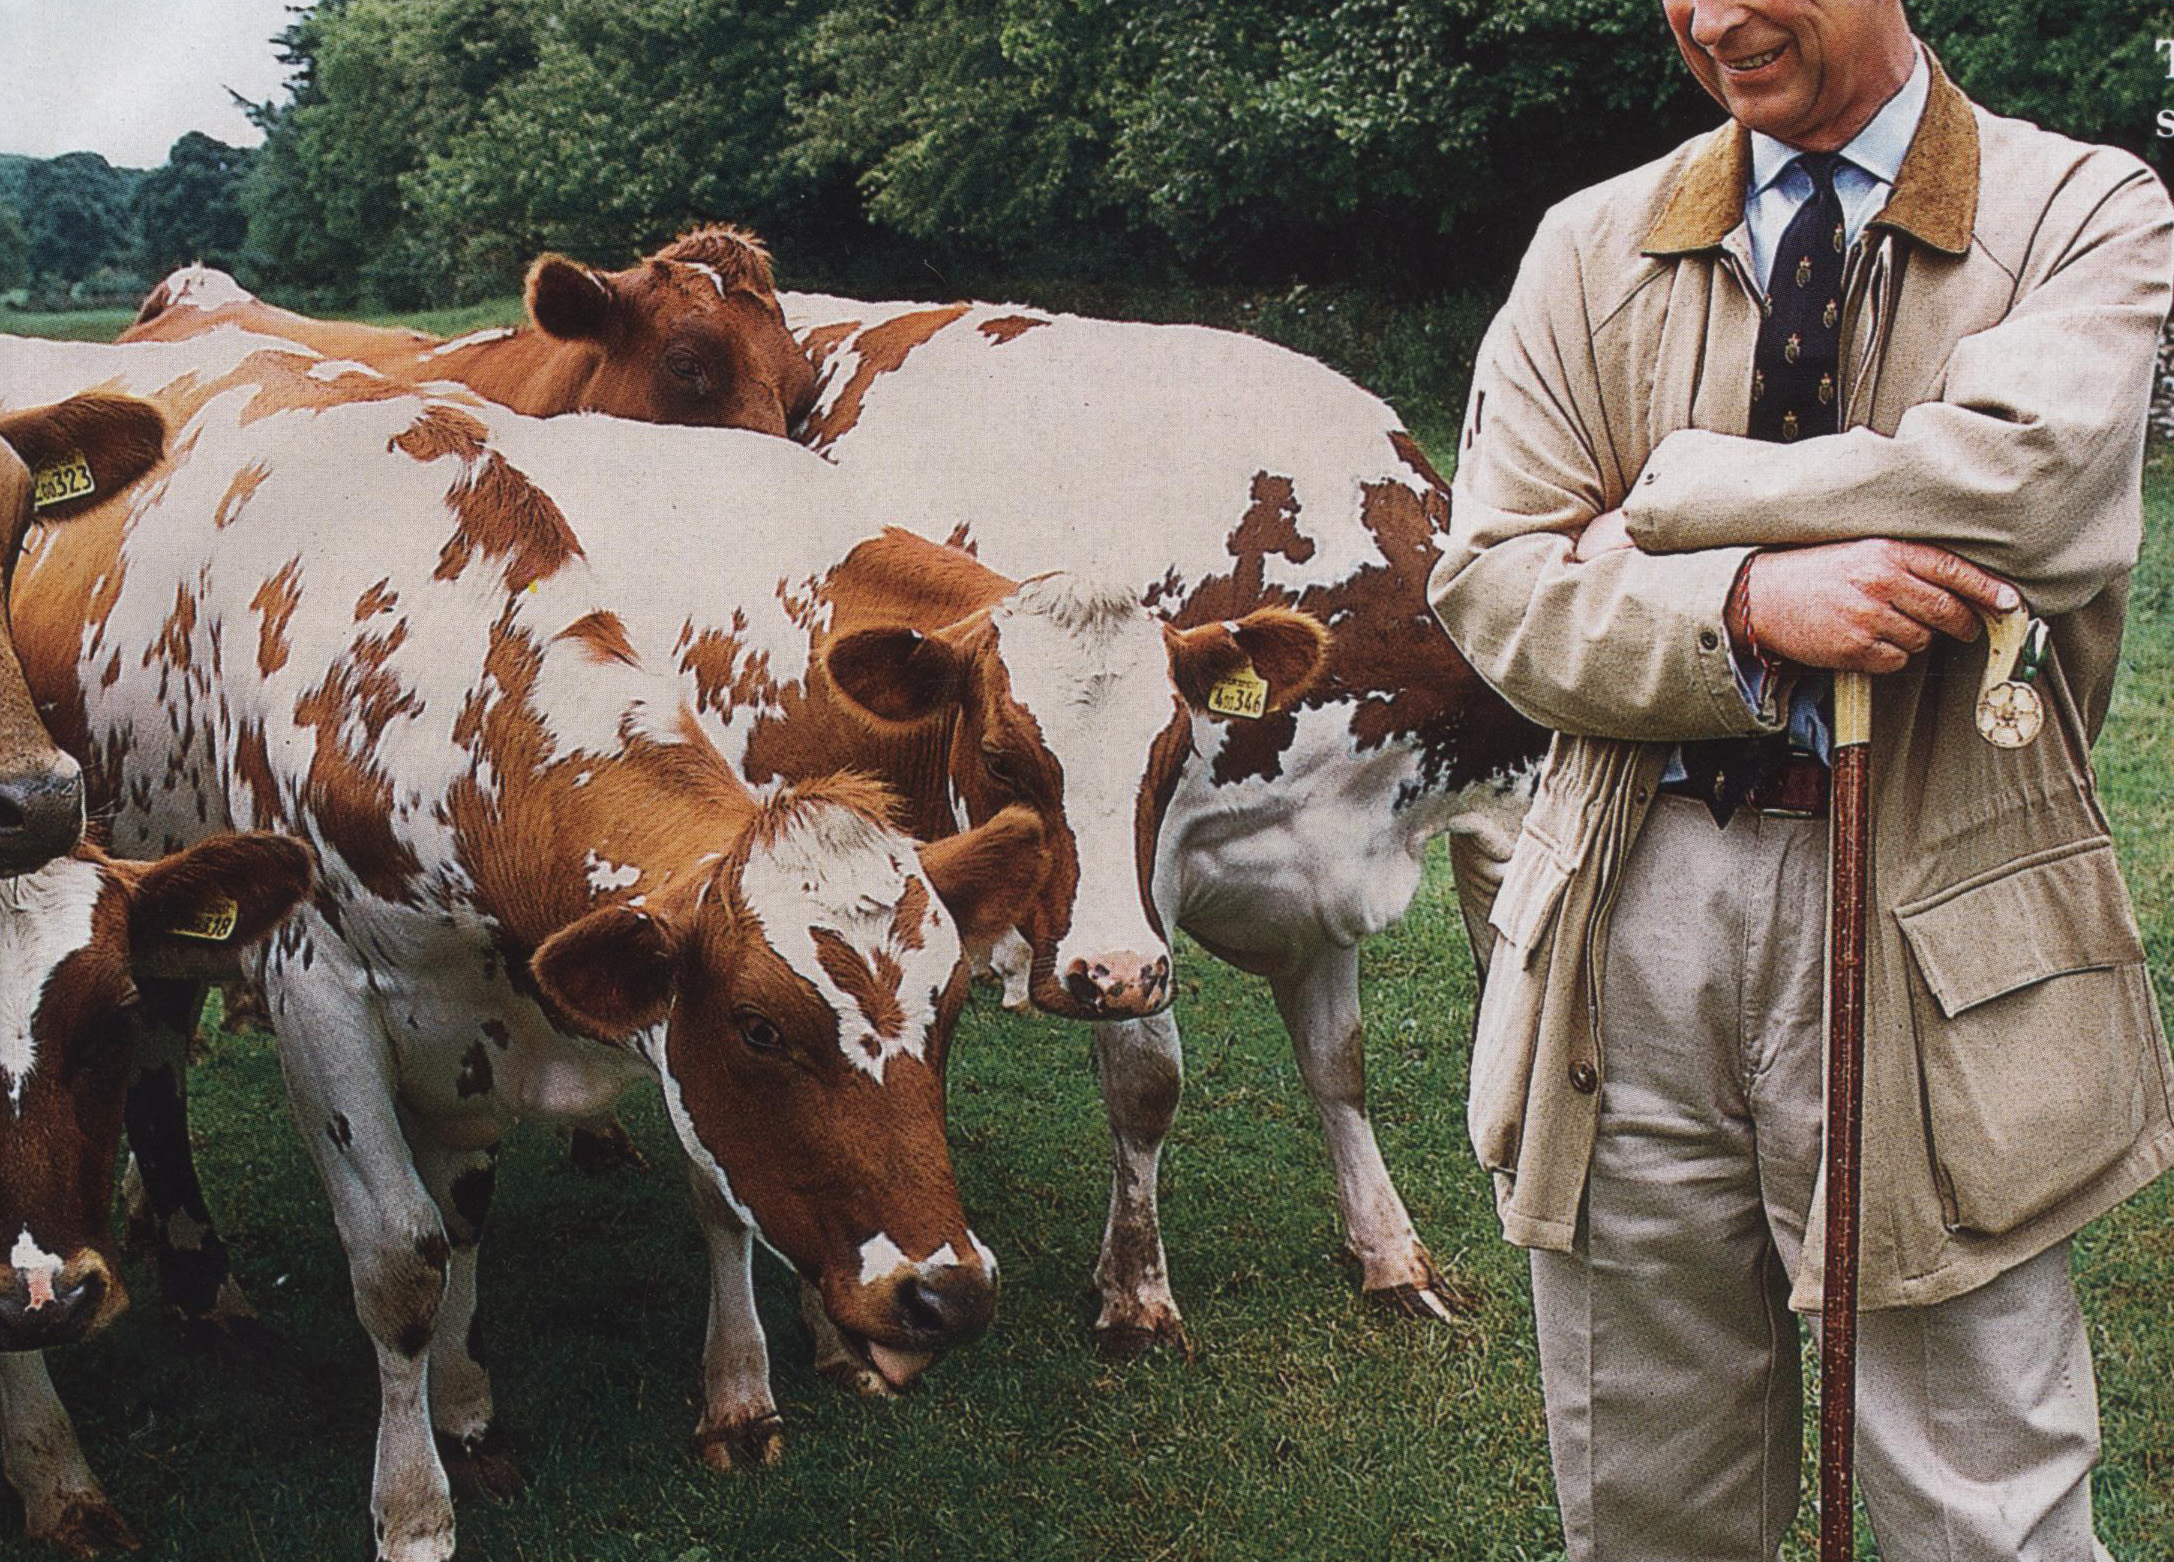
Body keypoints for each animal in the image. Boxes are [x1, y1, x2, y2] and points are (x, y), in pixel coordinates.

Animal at [4, 340, 1045, 1561]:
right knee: (160, 1076)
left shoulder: (477, 1014)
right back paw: (200, 1281)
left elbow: (461, 1220)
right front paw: (412, 1507)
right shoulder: (317, 998)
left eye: (949, 1009)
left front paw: (464, 1406)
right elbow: (402, 1258)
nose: (946, 1292)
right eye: (757, 1027)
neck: (429, 688)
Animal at [779, 292, 1550, 1351]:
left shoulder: (1349, 858)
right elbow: (1147, 1086)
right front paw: (1137, 1292)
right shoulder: (1137, 891)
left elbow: (1339, 1066)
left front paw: (1391, 1253)